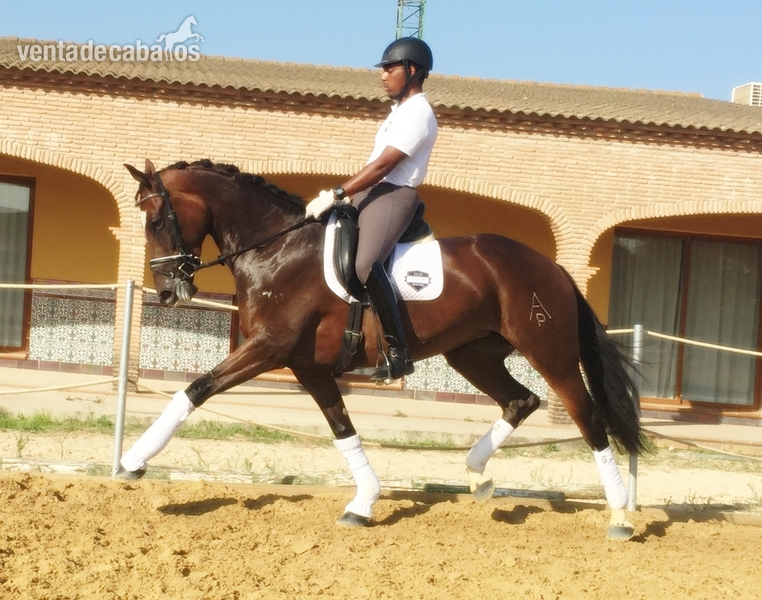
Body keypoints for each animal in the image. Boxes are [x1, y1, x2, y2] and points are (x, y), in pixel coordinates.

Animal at [119, 158, 645, 541]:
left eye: (158, 219)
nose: (167, 292)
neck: (274, 249)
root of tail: (553, 268)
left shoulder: (267, 348)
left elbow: (194, 390)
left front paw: (132, 462)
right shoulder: (305, 364)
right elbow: (341, 428)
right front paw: (364, 502)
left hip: (549, 353)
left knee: (587, 418)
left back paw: (620, 516)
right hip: (472, 354)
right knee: (521, 400)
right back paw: (478, 476)